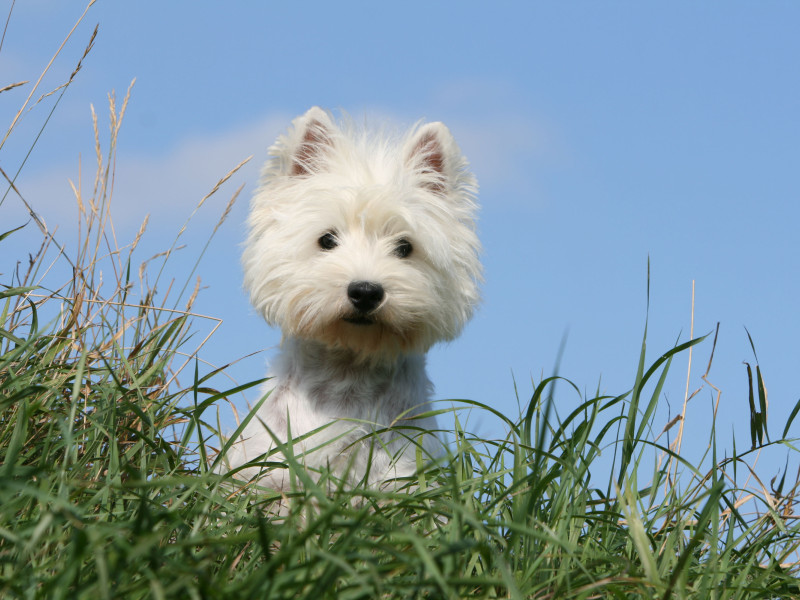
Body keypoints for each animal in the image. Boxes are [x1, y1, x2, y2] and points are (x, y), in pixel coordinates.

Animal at [220, 109, 482, 492]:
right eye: (327, 240)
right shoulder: (270, 476)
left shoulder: (402, 482)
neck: (349, 378)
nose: (366, 292)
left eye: (405, 247)